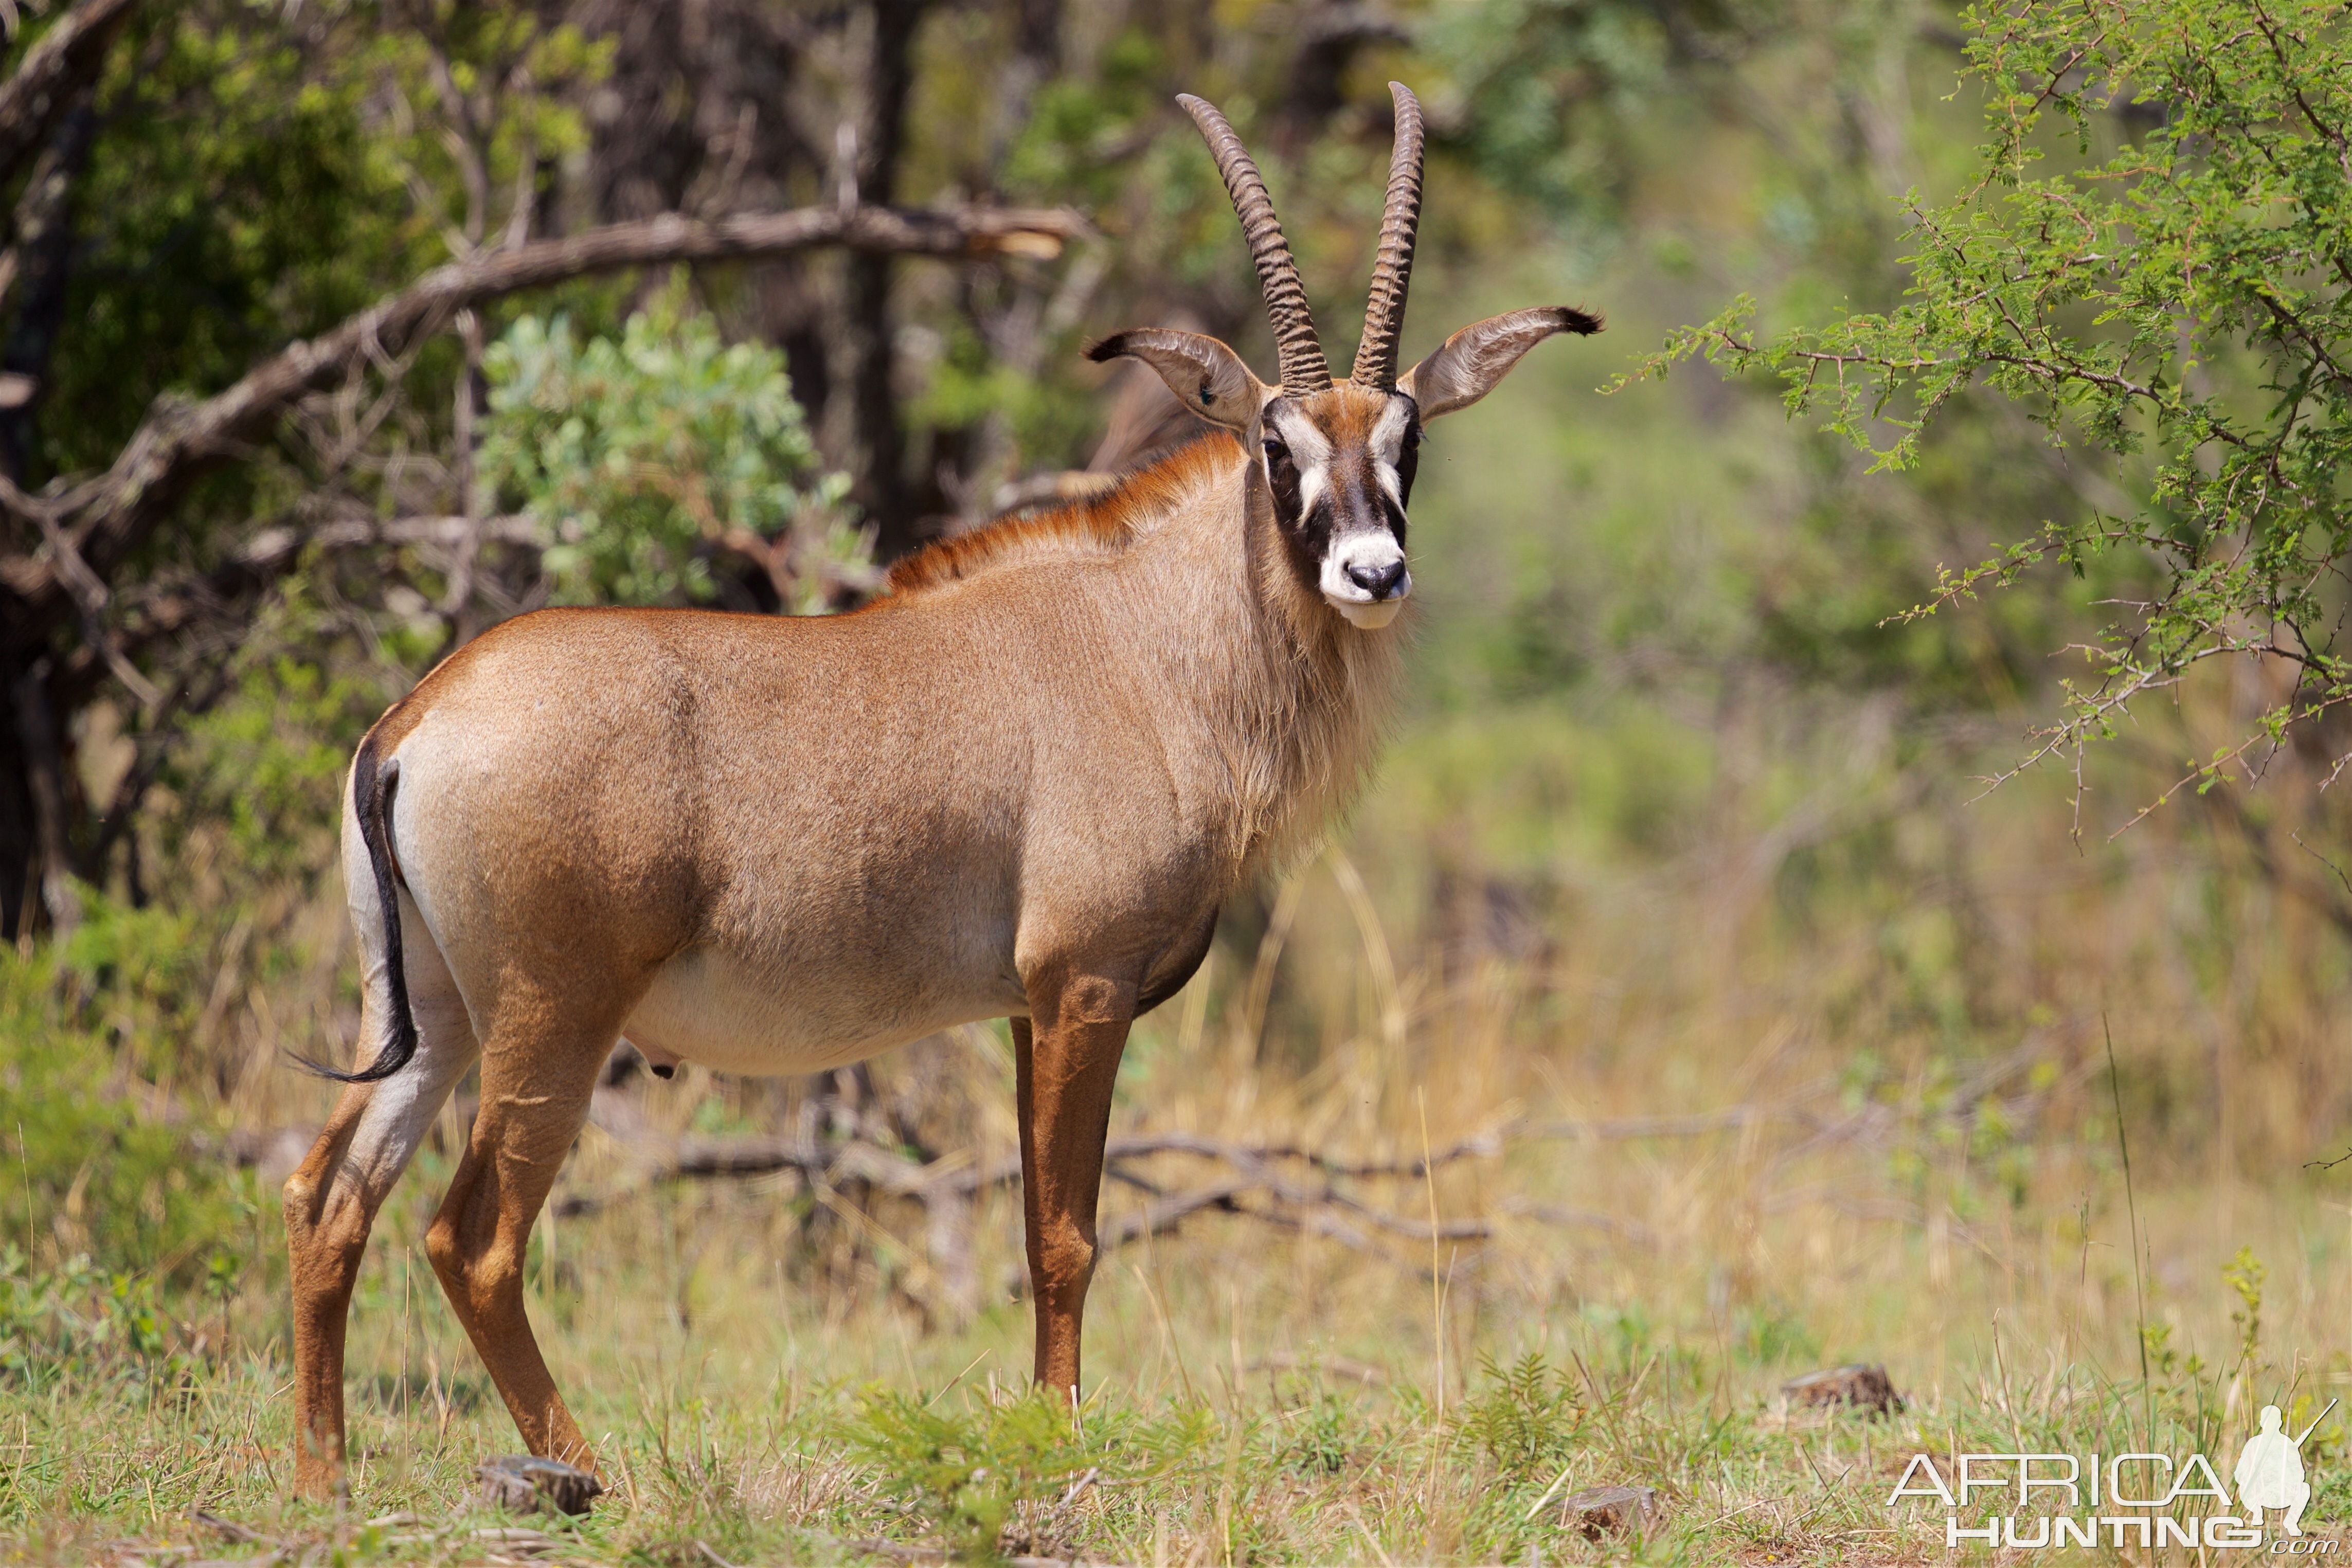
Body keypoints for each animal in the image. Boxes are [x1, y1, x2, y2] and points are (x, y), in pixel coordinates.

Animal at [280, 83, 1599, 1495]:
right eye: (1272, 439)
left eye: (1407, 437)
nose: (1371, 571)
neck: (1147, 641)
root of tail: (416, 718)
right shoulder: (1084, 984)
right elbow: (1071, 1232)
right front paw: (1060, 1444)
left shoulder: (1030, 1008)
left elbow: (1034, 1224)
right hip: (550, 1021)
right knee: (472, 1237)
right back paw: (590, 1473)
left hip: (433, 1015)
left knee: (329, 1196)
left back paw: (324, 1478)